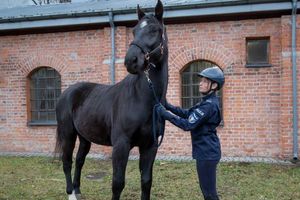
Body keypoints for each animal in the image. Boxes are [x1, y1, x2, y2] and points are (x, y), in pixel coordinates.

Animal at [54, 0, 168, 199]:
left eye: (154, 30)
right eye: (134, 30)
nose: (131, 60)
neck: (143, 99)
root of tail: (66, 93)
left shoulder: (150, 146)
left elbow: (146, 182)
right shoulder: (121, 145)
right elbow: (117, 183)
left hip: (85, 137)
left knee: (79, 161)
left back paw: (77, 190)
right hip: (68, 134)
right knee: (67, 161)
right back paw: (71, 193)